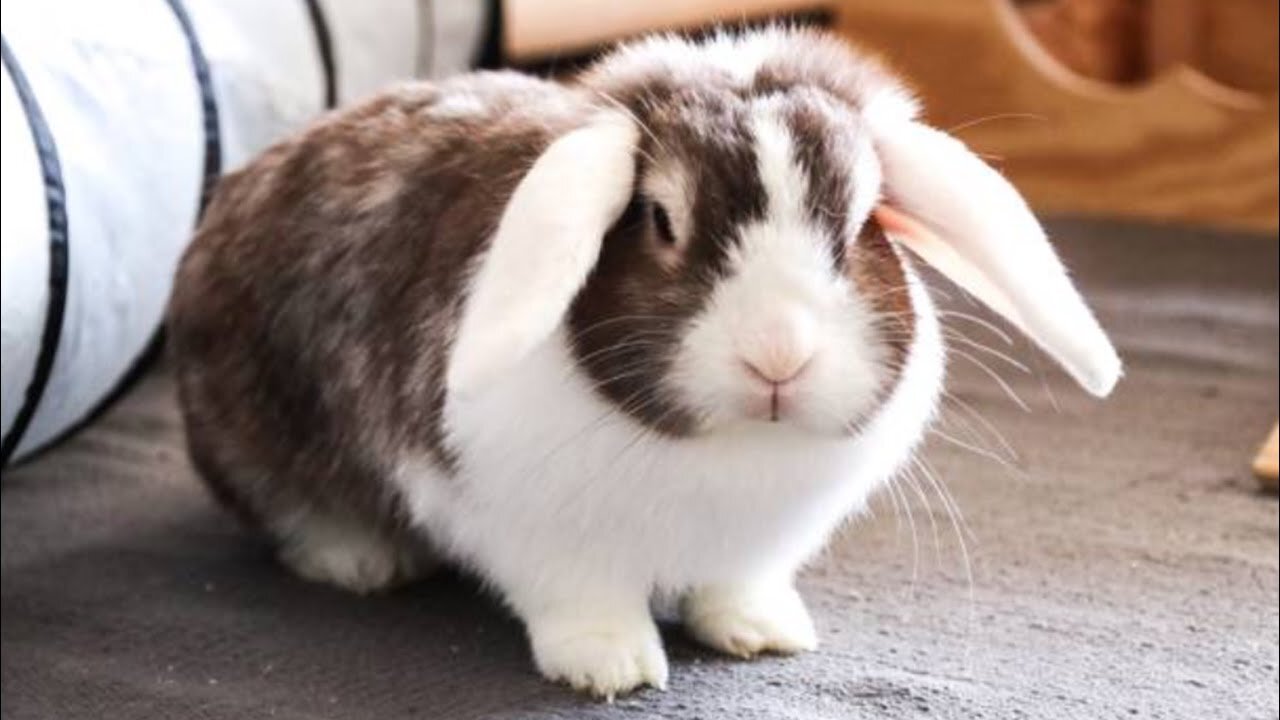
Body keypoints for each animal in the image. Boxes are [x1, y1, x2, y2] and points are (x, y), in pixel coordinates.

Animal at [167, 28, 1121, 696]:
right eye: (662, 219)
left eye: (860, 225)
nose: (779, 354)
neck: (729, 453)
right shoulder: (530, 530)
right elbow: (583, 602)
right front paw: (610, 669)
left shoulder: (755, 546)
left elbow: (736, 588)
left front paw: (763, 635)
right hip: (251, 431)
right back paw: (361, 563)